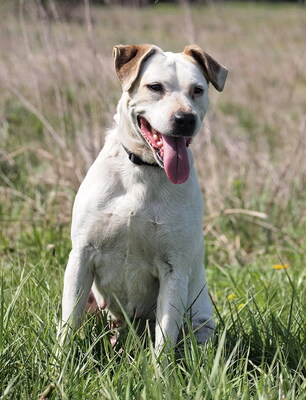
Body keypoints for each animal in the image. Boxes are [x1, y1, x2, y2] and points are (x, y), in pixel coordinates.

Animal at [60, 44, 227, 350]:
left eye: (197, 90)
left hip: (201, 322)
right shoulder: (81, 256)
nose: (185, 119)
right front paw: (60, 362)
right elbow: (67, 326)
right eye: (155, 87)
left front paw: (160, 366)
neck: (144, 170)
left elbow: (164, 339)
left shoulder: (174, 270)